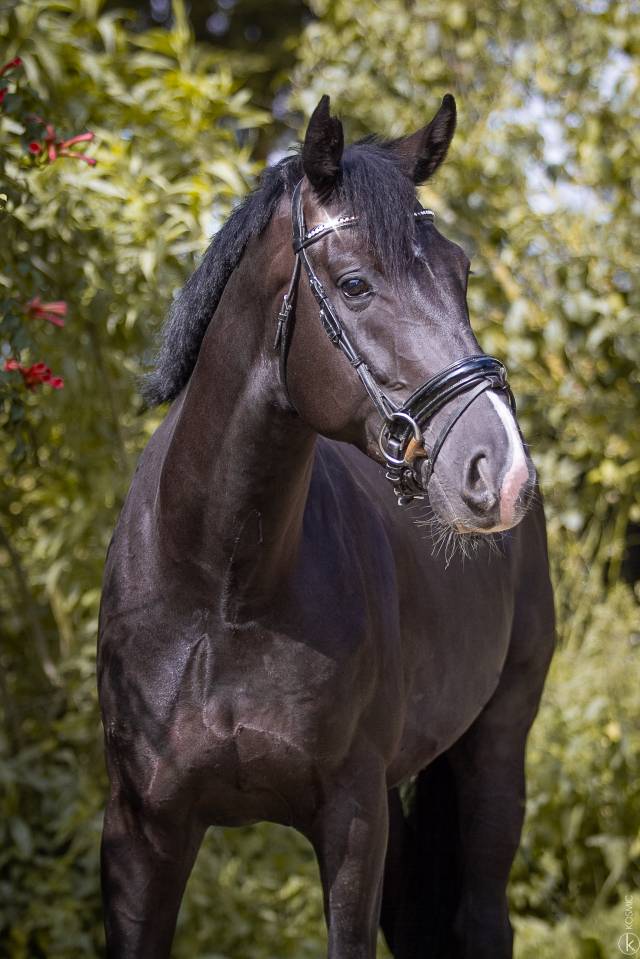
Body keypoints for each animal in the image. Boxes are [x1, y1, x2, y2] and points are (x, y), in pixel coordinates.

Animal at [98, 93, 555, 959]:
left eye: (460, 273)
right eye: (354, 283)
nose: (502, 471)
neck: (223, 590)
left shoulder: (352, 819)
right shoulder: (142, 830)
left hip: (496, 745)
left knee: (482, 918)